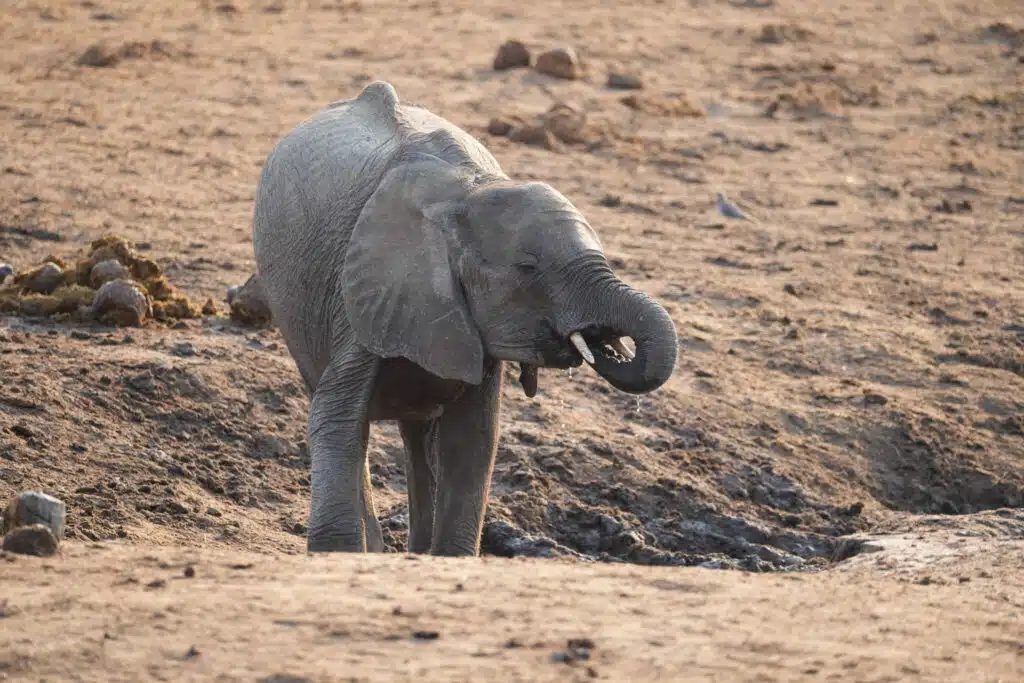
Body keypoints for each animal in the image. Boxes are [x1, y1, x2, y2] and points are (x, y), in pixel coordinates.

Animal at [251, 81, 678, 556]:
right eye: (528, 268)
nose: (604, 342)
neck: (467, 193)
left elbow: (472, 440)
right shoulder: (363, 291)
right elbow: (336, 417)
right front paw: (339, 555)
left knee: (418, 436)